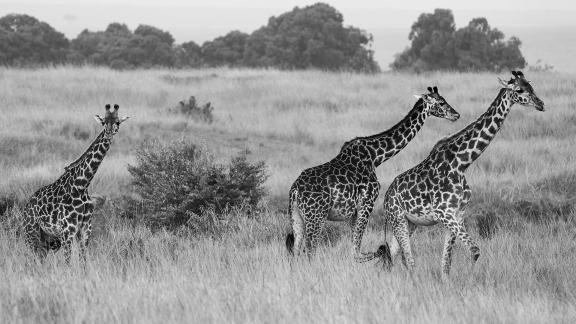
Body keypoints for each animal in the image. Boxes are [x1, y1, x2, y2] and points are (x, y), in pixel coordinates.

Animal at [23, 105, 129, 262]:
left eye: (117, 122)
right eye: (104, 122)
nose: (109, 134)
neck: (81, 185)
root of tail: (26, 206)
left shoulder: (85, 229)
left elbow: (83, 259)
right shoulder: (68, 230)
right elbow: (68, 262)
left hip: (49, 238)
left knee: (41, 257)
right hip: (32, 232)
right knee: (33, 257)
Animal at [286, 85, 462, 260]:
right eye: (441, 102)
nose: (456, 115)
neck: (375, 157)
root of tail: (295, 190)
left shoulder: (354, 212)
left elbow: (355, 247)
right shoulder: (367, 202)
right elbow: (357, 251)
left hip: (296, 217)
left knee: (296, 252)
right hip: (316, 217)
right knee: (310, 251)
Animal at [380, 71, 544, 274]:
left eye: (531, 86)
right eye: (519, 89)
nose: (541, 104)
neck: (461, 163)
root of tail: (386, 196)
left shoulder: (458, 214)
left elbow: (446, 262)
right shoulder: (445, 213)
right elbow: (474, 250)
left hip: (411, 223)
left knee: (393, 255)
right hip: (398, 218)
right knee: (407, 259)